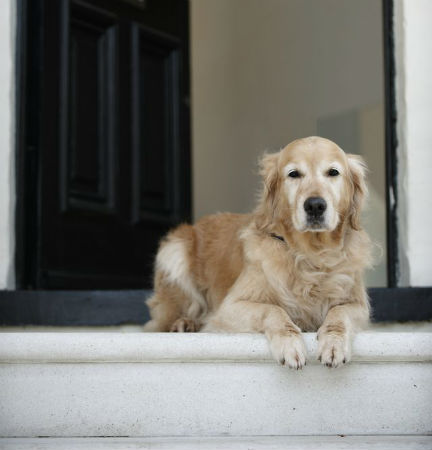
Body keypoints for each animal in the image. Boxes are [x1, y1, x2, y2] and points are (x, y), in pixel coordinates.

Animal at [144, 137, 372, 370]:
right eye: (294, 174)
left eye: (333, 172)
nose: (315, 205)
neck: (310, 253)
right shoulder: (230, 307)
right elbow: (273, 309)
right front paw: (290, 345)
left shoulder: (359, 306)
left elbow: (339, 314)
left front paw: (333, 344)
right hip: (174, 252)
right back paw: (184, 323)